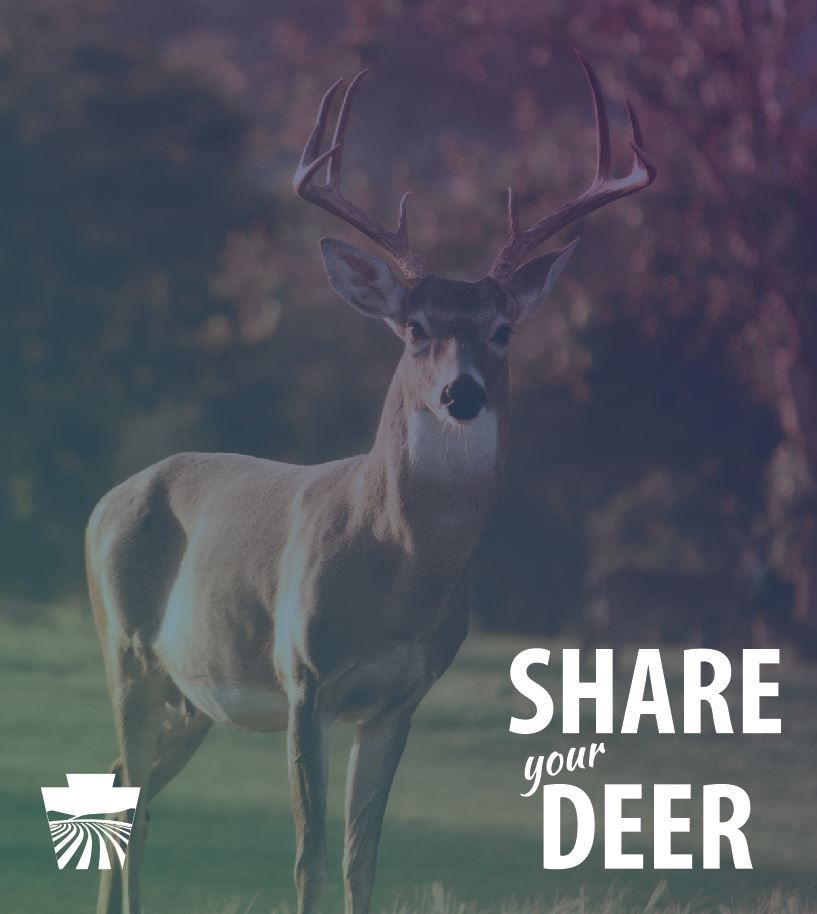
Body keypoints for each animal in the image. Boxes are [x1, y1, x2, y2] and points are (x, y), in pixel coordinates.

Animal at [86, 52, 655, 914]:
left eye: (502, 329)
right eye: (415, 328)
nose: (462, 393)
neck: (395, 568)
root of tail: (105, 501)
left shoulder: (398, 699)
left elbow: (362, 859)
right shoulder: (304, 677)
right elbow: (309, 857)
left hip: (191, 693)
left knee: (127, 790)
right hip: (125, 648)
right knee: (130, 798)